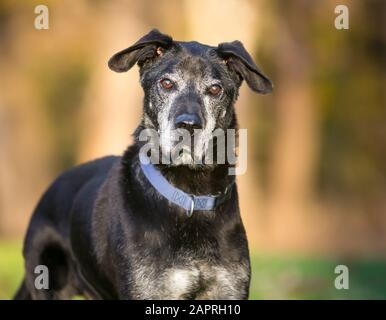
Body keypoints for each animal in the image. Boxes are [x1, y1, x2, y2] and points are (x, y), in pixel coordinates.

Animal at [13, 28, 272, 298]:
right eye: (166, 83)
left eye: (214, 89)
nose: (188, 125)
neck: (189, 192)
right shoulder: (147, 289)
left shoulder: (228, 288)